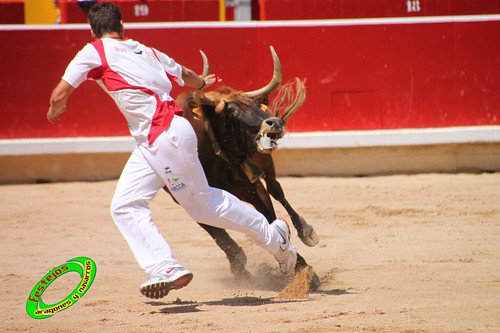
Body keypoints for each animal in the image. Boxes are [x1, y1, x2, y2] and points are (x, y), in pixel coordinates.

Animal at [172, 46, 320, 288]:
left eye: (255, 105)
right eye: (231, 111)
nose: (275, 123)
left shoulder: (253, 187)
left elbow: (270, 217)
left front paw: (304, 268)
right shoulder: (187, 202)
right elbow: (219, 235)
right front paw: (239, 269)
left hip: (265, 167)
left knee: (276, 190)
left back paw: (306, 231)